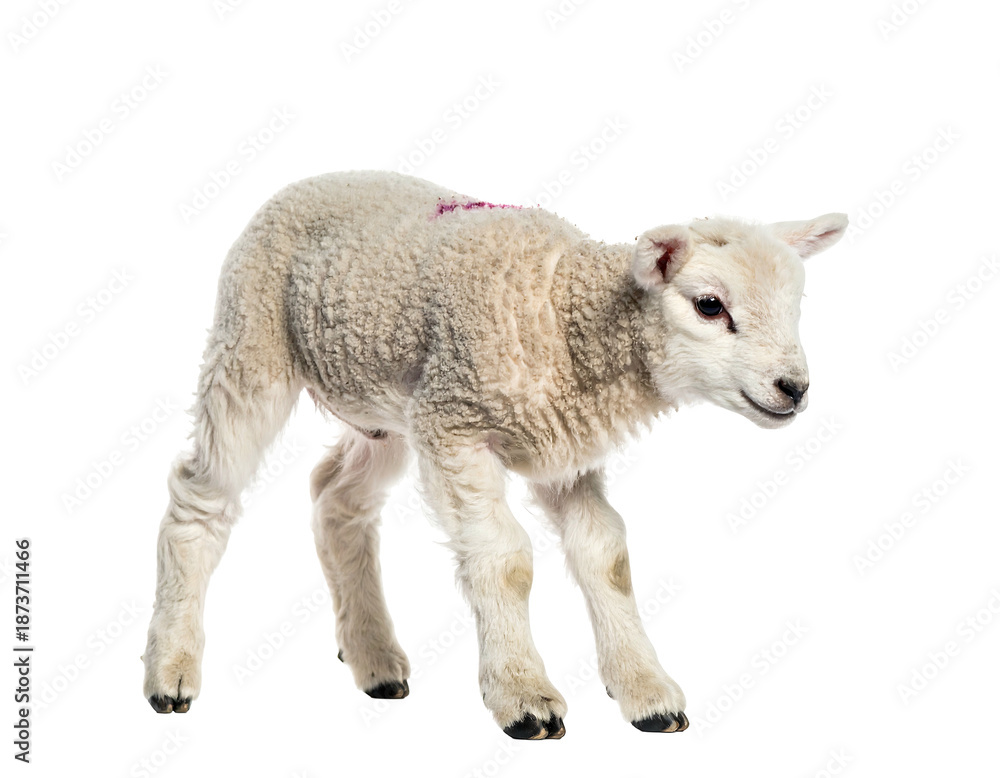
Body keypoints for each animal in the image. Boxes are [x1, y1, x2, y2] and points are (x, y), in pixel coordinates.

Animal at [142, 170, 847, 738]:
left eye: (796, 307)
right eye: (709, 306)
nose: (794, 388)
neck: (566, 316)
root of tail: (311, 178)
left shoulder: (565, 454)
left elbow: (607, 555)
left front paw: (646, 692)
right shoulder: (456, 425)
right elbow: (506, 560)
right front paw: (523, 695)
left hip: (386, 409)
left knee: (336, 501)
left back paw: (373, 658)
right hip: (252, 346)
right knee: (200, 497)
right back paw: (170, 670)